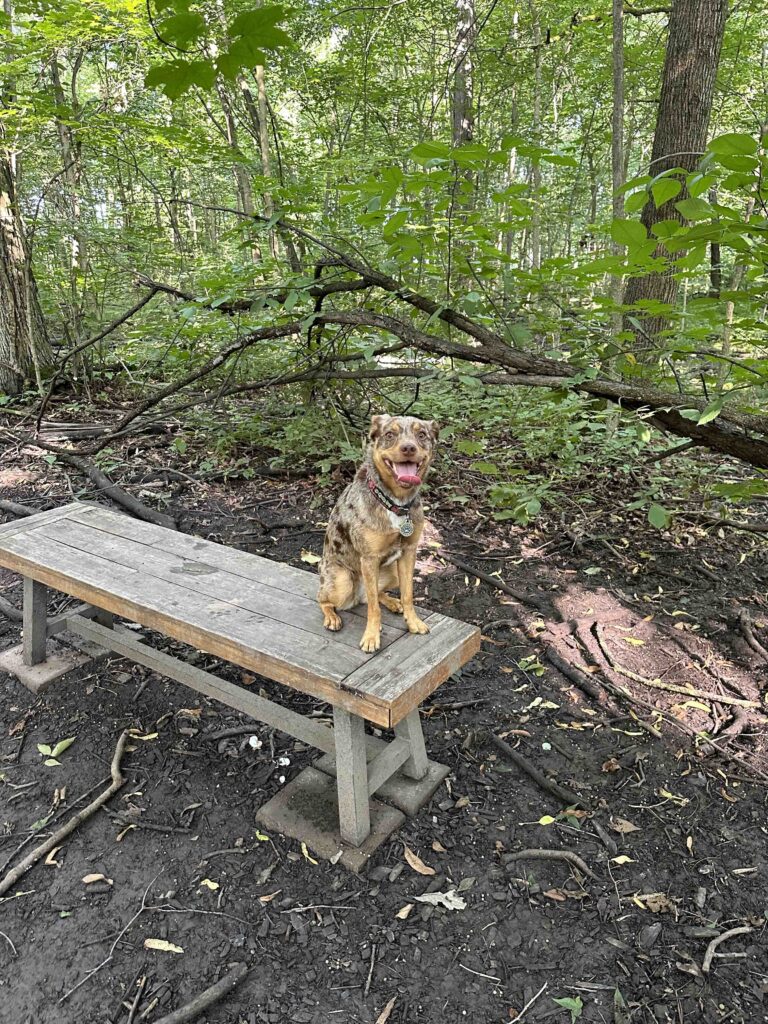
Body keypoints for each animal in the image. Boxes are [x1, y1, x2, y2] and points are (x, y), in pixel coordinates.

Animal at [317, 411, 438, 651]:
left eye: (421, 434)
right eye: (390, 434)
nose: (408, 448)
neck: (395, 503)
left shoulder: (409, 552)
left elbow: (408, 594)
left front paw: (413, 621)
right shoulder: (369, 558)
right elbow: (373, 608)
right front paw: (372, 636)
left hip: (392, 573)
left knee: (375, 594)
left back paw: (392, 601)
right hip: (341, 581)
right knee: (325, 599)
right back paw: (332, 617)